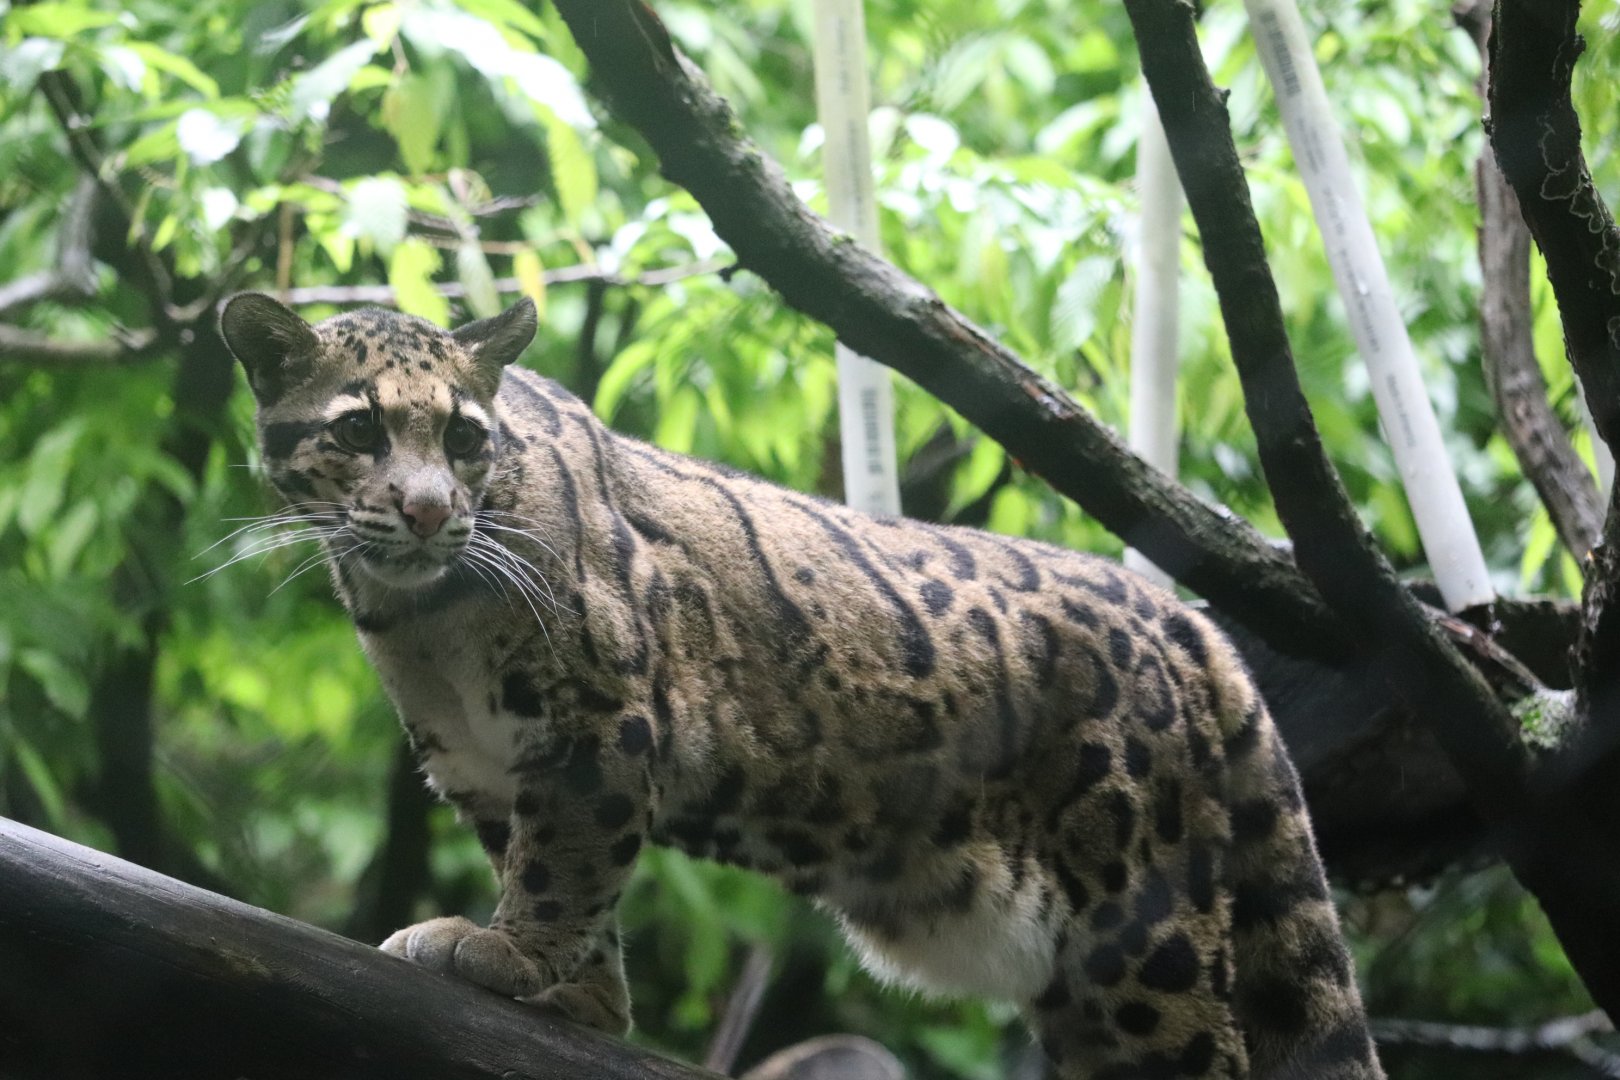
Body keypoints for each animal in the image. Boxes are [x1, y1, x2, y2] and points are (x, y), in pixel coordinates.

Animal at [220, 292, 1385, 1080]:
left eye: (464, 436)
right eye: (360, 429)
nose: (427, 510)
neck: (425, 615)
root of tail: (1188, 622)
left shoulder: (602, 723)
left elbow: (566, 863)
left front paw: (513, 953)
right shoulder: (478, 761)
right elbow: (549, 865)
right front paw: (584, 995)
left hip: (1145, 941)